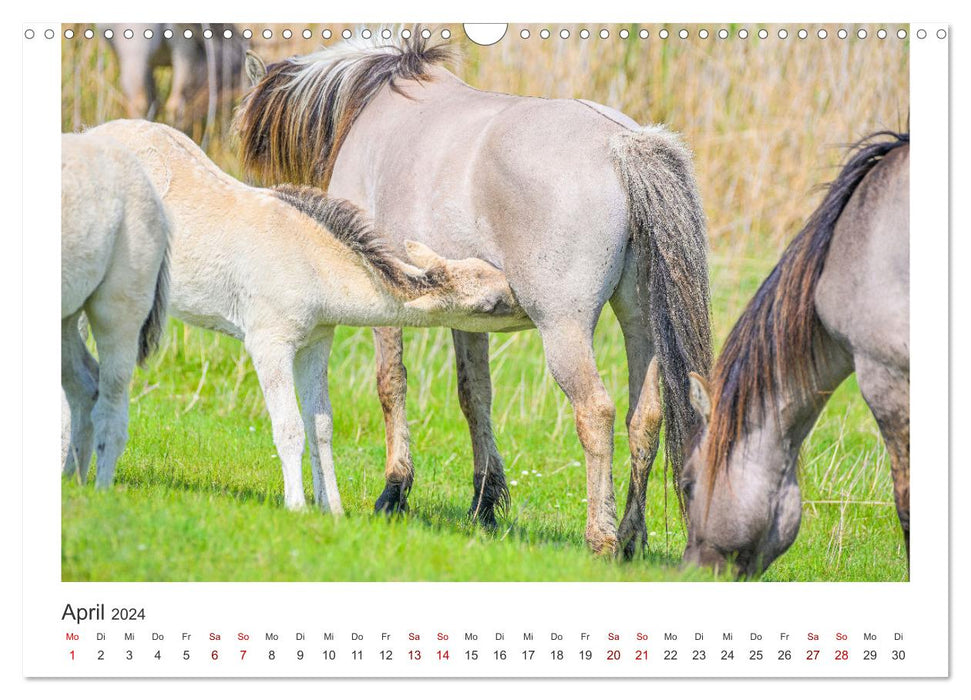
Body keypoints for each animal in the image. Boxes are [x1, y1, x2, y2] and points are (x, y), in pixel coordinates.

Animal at [61, 134, 172, 490]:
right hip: (68, 311)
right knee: (84, 388)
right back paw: (72, 482)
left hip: (118, 307)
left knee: (110, 404)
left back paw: (100, 490)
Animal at [232, 34, 712, 556]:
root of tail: (620, 145)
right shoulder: (468, 314)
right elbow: (474, 395)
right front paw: (484, 504)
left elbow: (390, 383)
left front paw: (395, 491)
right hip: (640, 323)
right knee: (644, 418)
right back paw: (630, 539)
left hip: (564, 329)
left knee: (596, 412)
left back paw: (600, 537)